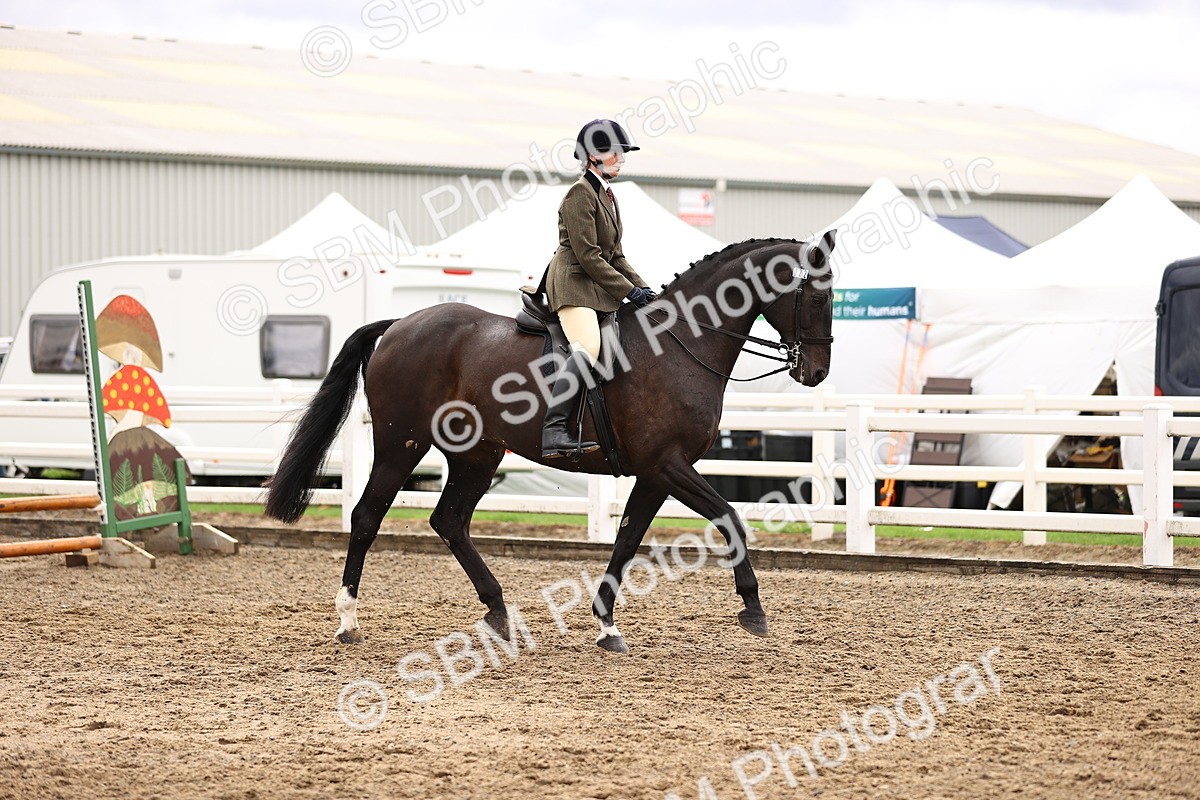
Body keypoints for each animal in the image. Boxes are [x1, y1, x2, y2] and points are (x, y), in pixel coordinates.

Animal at [264, 233, 836, 653]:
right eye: (816, 296)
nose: (816, 373)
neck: (679, 344)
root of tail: (401, 323)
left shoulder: (655, 472)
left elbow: (627, 539)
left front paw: (606, 625)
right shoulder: (668, 465)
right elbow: (729, 517)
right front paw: (753, 610)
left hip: (477, 454)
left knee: (449, 520)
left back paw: (498, 612)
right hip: (400, 444)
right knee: (367, 516)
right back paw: (348, 620)